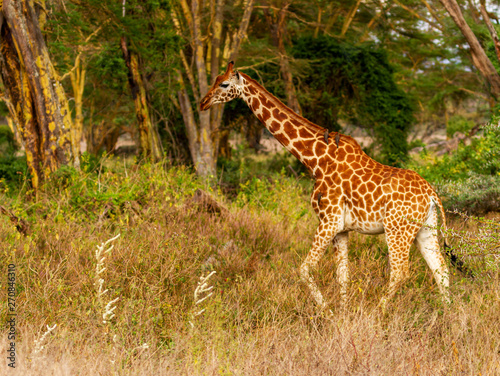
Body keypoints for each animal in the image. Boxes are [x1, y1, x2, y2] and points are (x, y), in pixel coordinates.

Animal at [200, 61, 454, 308]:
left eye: (224, 84)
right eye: (214, 80)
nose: (203, 102)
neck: (315, 159)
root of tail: (432, 194)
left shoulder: (329, 221)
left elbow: (304, 269)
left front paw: (326, 311)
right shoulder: (340, 229)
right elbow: (342, 275)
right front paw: (343, 314)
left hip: (397, 229)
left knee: (401, 272)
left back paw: (379, 311)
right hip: (425, 229)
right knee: (441, 270)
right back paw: (447, 314)